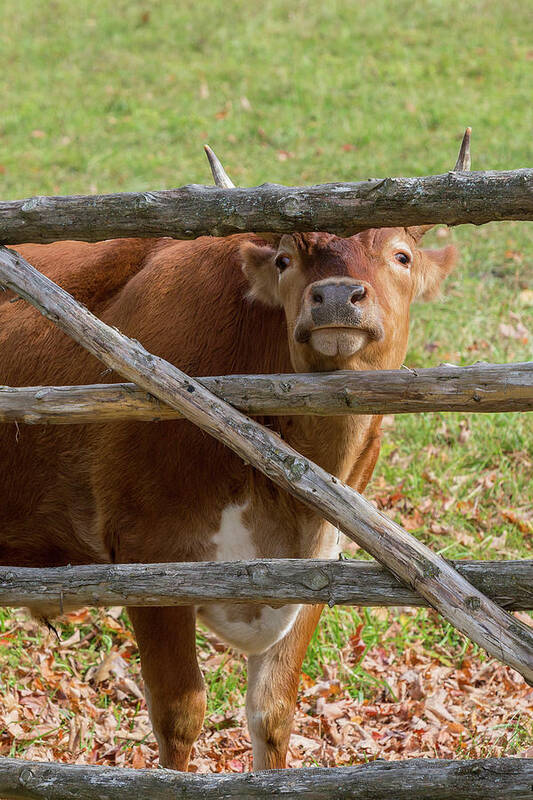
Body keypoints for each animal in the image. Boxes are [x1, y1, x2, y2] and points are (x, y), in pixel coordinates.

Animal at [0, 147, 462, 772]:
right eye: (286, 259)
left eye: (401, 255)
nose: (337, 296)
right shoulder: (148, 551)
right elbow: (179, 713)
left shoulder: (321, 558)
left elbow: (272, 711)